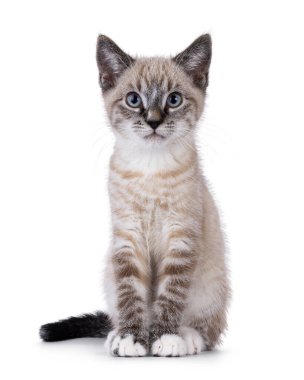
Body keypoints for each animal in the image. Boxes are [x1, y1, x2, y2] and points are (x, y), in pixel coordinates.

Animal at [40, 33, 230, 356]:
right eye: (133, 100)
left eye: (174, 100)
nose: (153, 121)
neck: (150, 169)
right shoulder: (127, 237)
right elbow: (131, 293)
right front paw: (131, 337)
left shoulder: (181, 237)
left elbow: (170, 293)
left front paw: (166, 337)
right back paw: (118, 333)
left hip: (212, 285)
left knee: (208, 330)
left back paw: (186, 336)